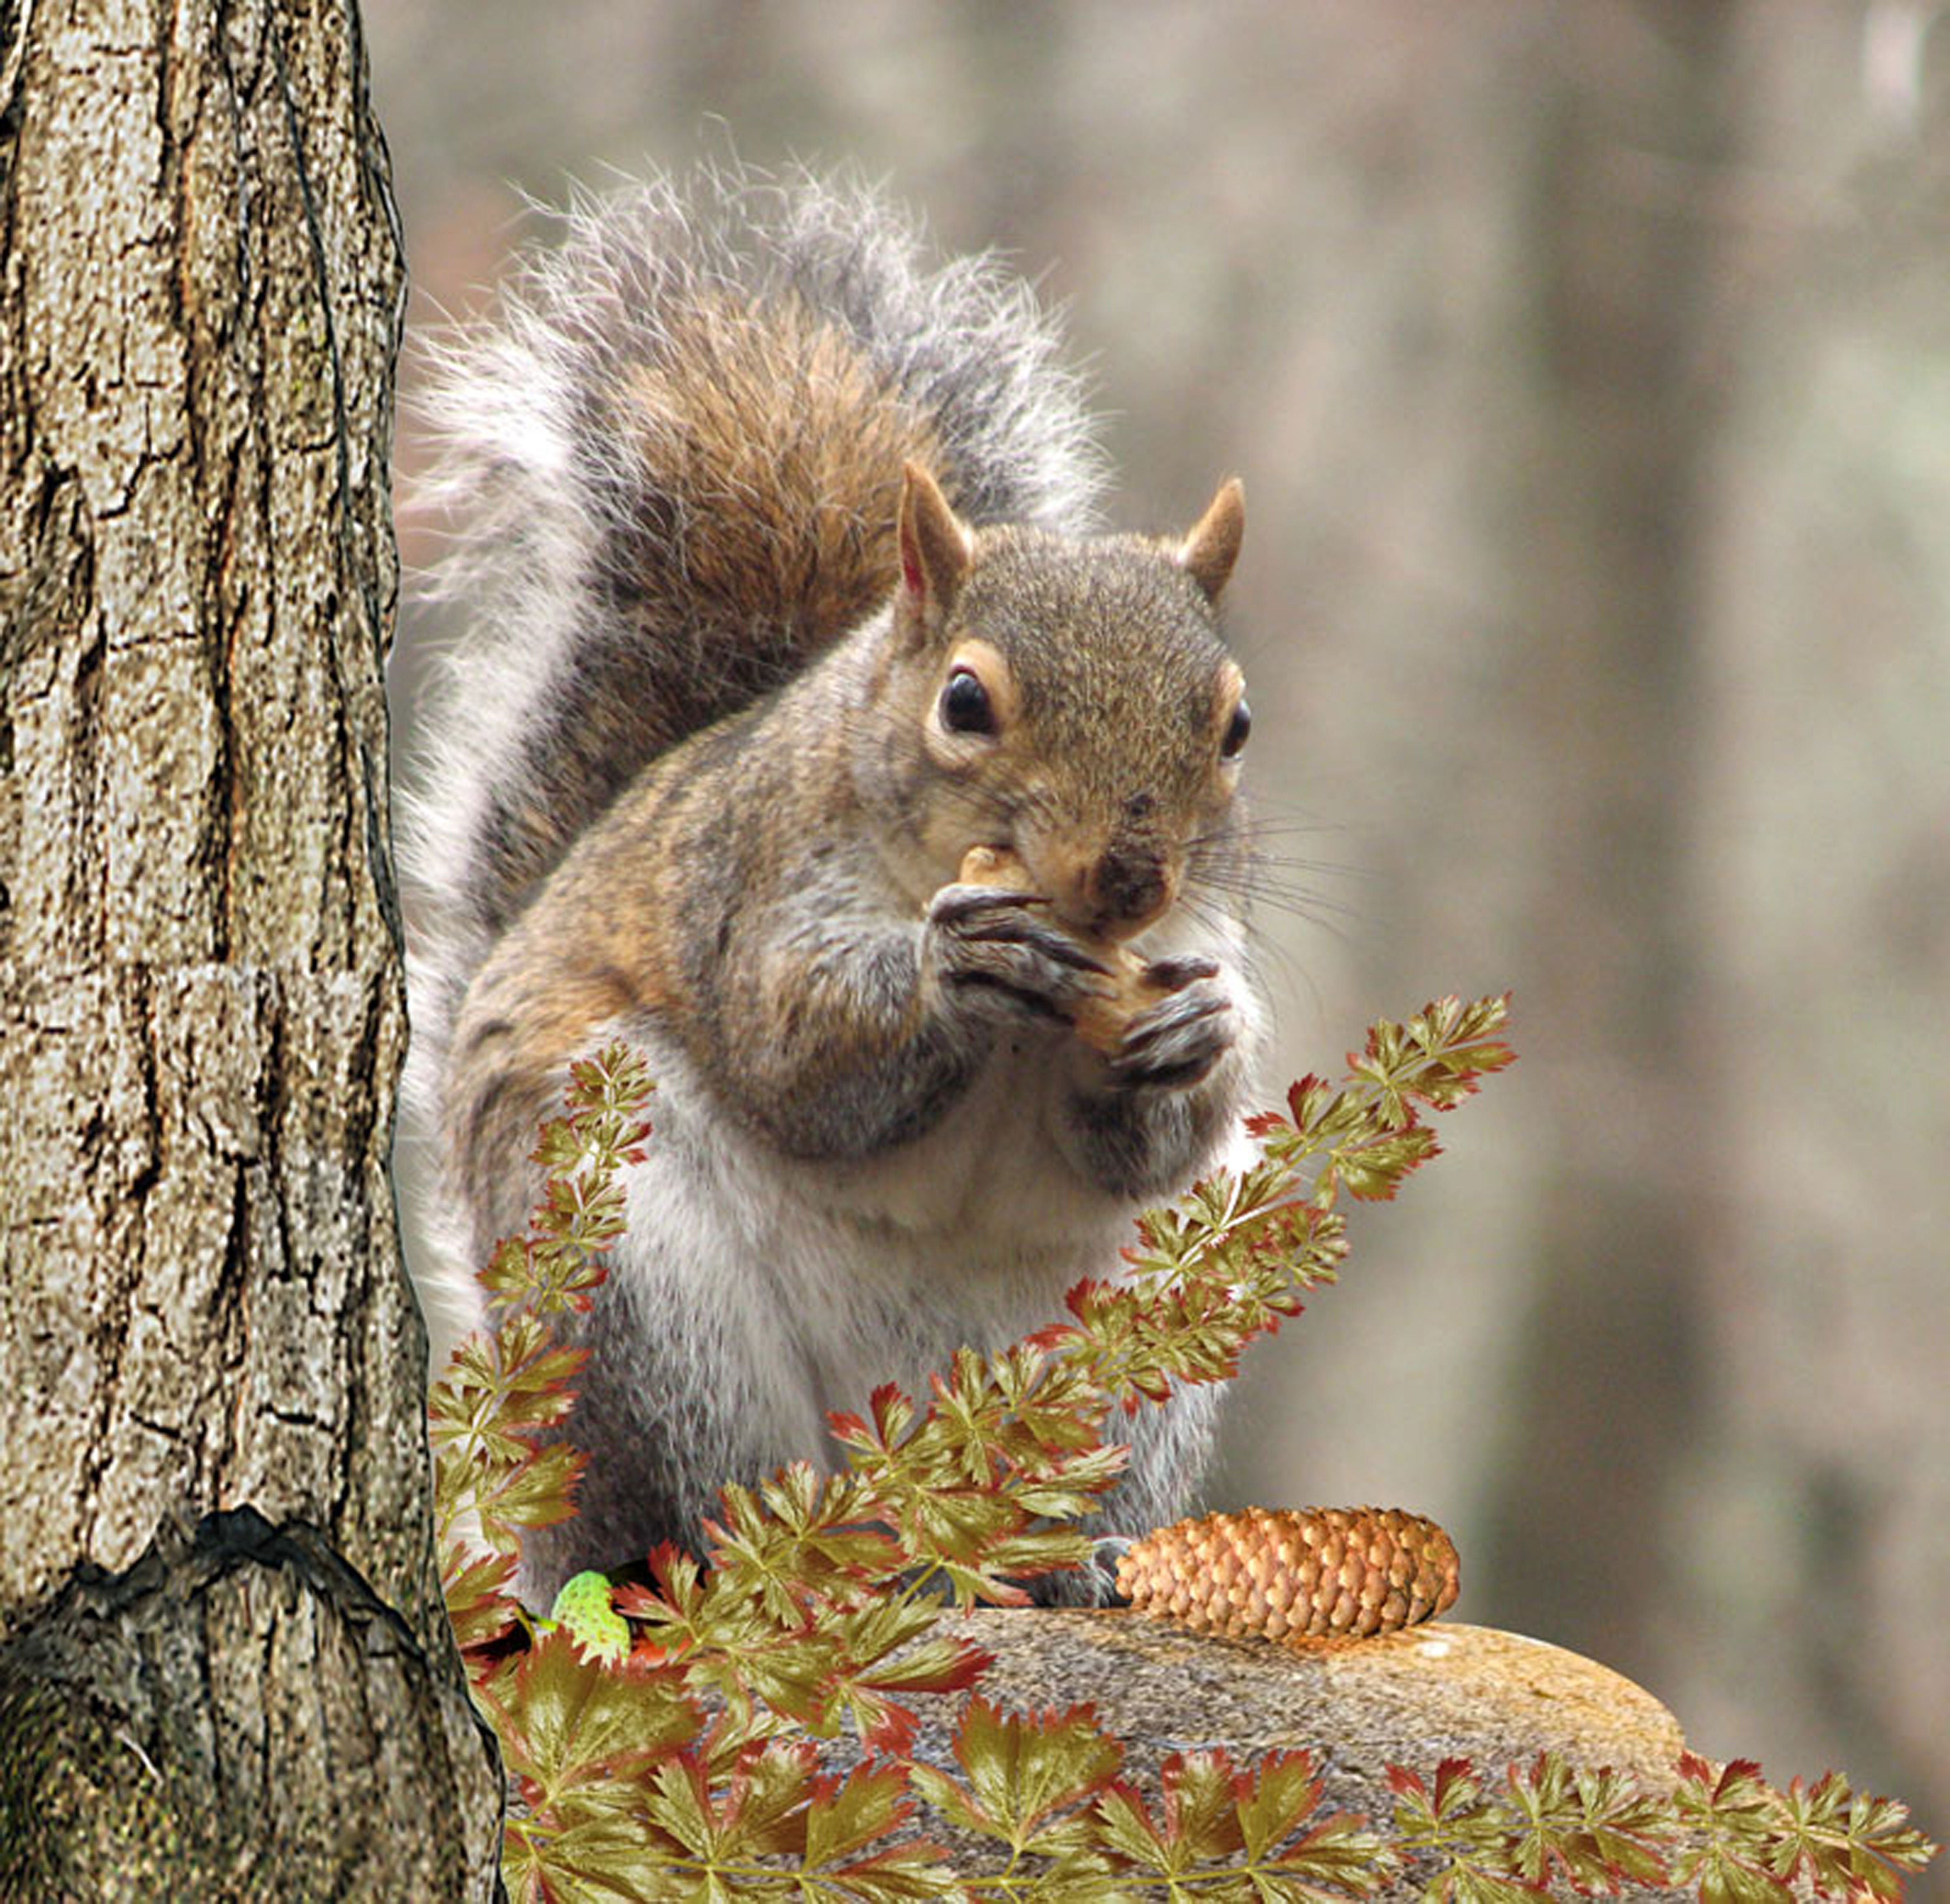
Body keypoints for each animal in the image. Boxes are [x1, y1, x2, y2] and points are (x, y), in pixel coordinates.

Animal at [397, 166, 1264, 1606]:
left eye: (1235, 725)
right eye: (964, 702)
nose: (1131, 874)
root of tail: (897, 1499)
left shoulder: (1200, 928)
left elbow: (1151, 1137)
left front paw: (1198, 1034)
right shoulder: (746, 886)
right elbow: (794, 1055)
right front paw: (952, 971)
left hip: (1143, 1330)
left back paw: (1074, 1558)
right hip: (629, 1287)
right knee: (678, 1518)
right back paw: (753, 1560)